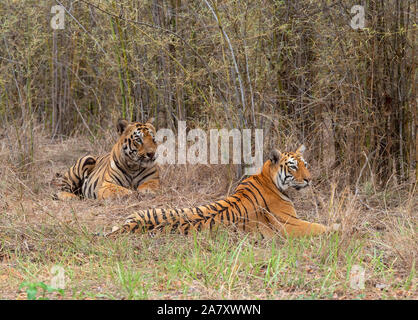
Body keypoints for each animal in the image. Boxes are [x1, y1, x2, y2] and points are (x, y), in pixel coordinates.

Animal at [108, 145, 336, 238]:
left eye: (305, 164)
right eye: (293, 167)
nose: (309, 179)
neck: (267, 178)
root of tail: (127, 226)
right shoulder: (290, 225)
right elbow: (320, 227)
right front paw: (339, 228)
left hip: (139, 212)